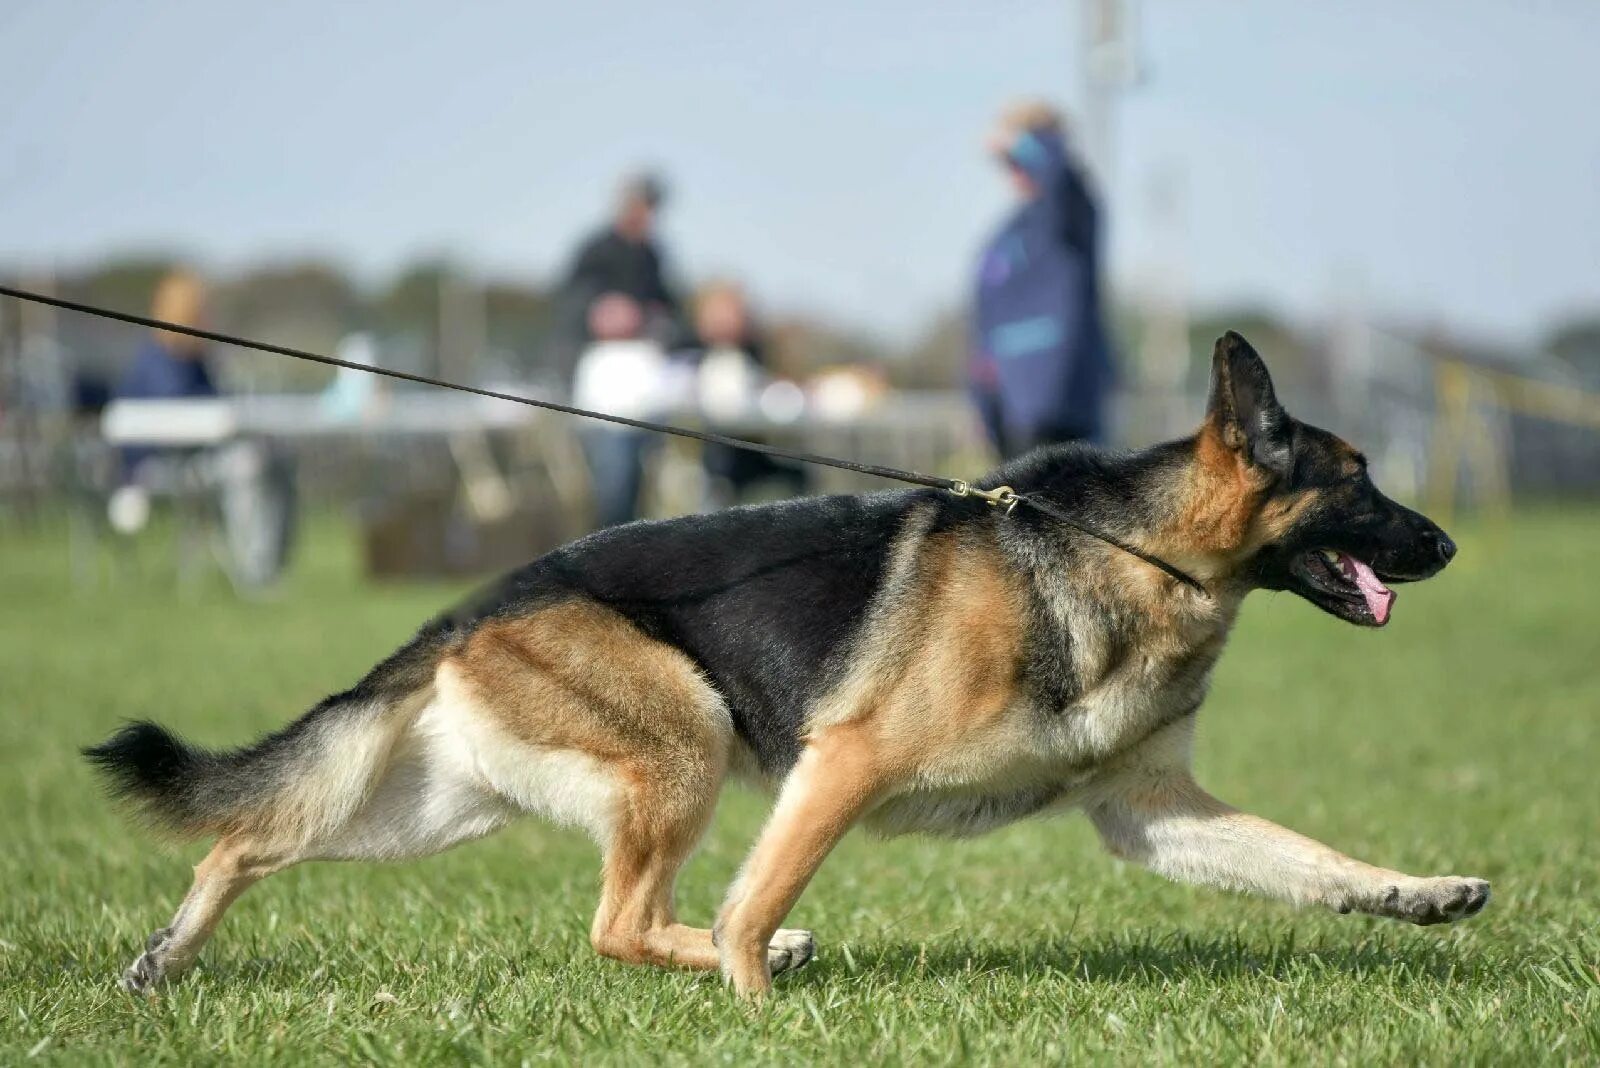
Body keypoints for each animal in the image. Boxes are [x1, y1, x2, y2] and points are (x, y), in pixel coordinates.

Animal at [84, 329, 1484, 997]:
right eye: (1359, 482)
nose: (1450, 544)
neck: (1130, 552)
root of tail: (488, 597)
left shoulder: (1151, 813)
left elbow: (1309, 863)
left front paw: (1417, 893)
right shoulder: (841, 765)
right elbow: (754, 905)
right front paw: (757, 1009)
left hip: (444, 809)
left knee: (247, 839)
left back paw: (164, 958)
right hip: (685, 747)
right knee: (621, 925)